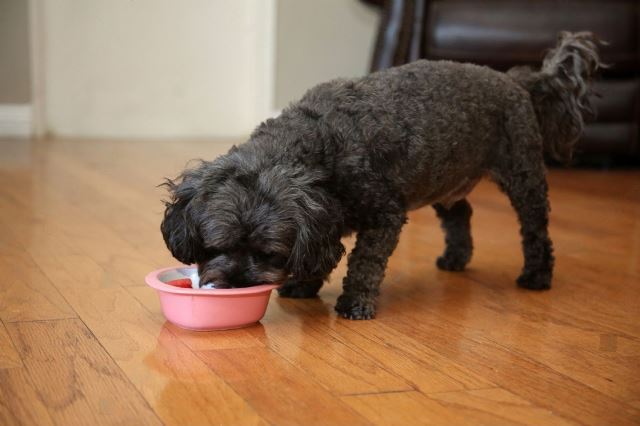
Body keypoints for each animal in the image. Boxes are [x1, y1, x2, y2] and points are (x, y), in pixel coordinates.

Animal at [160, 31, 600, 320]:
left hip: (523, 174)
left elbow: (364, 263)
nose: (235, 285)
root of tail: (515, 80)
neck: (313, 142)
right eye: (217, 246)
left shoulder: (383, 215)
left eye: (269, 253)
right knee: (461, 213)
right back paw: (455, 258)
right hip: (444, 177)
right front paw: (305, 285)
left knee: (535, 230)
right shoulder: (324, 219)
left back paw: (537, 275)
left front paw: (355, 302)